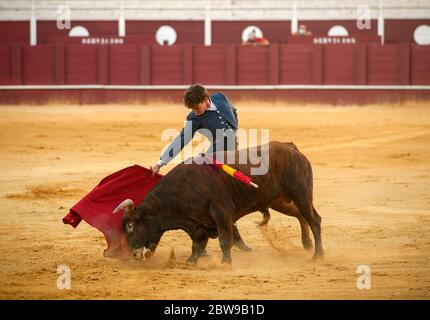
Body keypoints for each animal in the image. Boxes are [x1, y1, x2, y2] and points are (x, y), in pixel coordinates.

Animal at [112, 141, 324, 264]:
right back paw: (307, 244)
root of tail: (292, 149)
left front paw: (225, 263)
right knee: (301, 215)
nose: (132, 254)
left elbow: (224, 240)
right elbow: (197, 243)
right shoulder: (197, 223)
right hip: (279, 200)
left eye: (130, 226)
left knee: (314, 220)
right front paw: (191, 261)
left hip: (301, 193)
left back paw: (318, 255)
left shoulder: (222, 213)